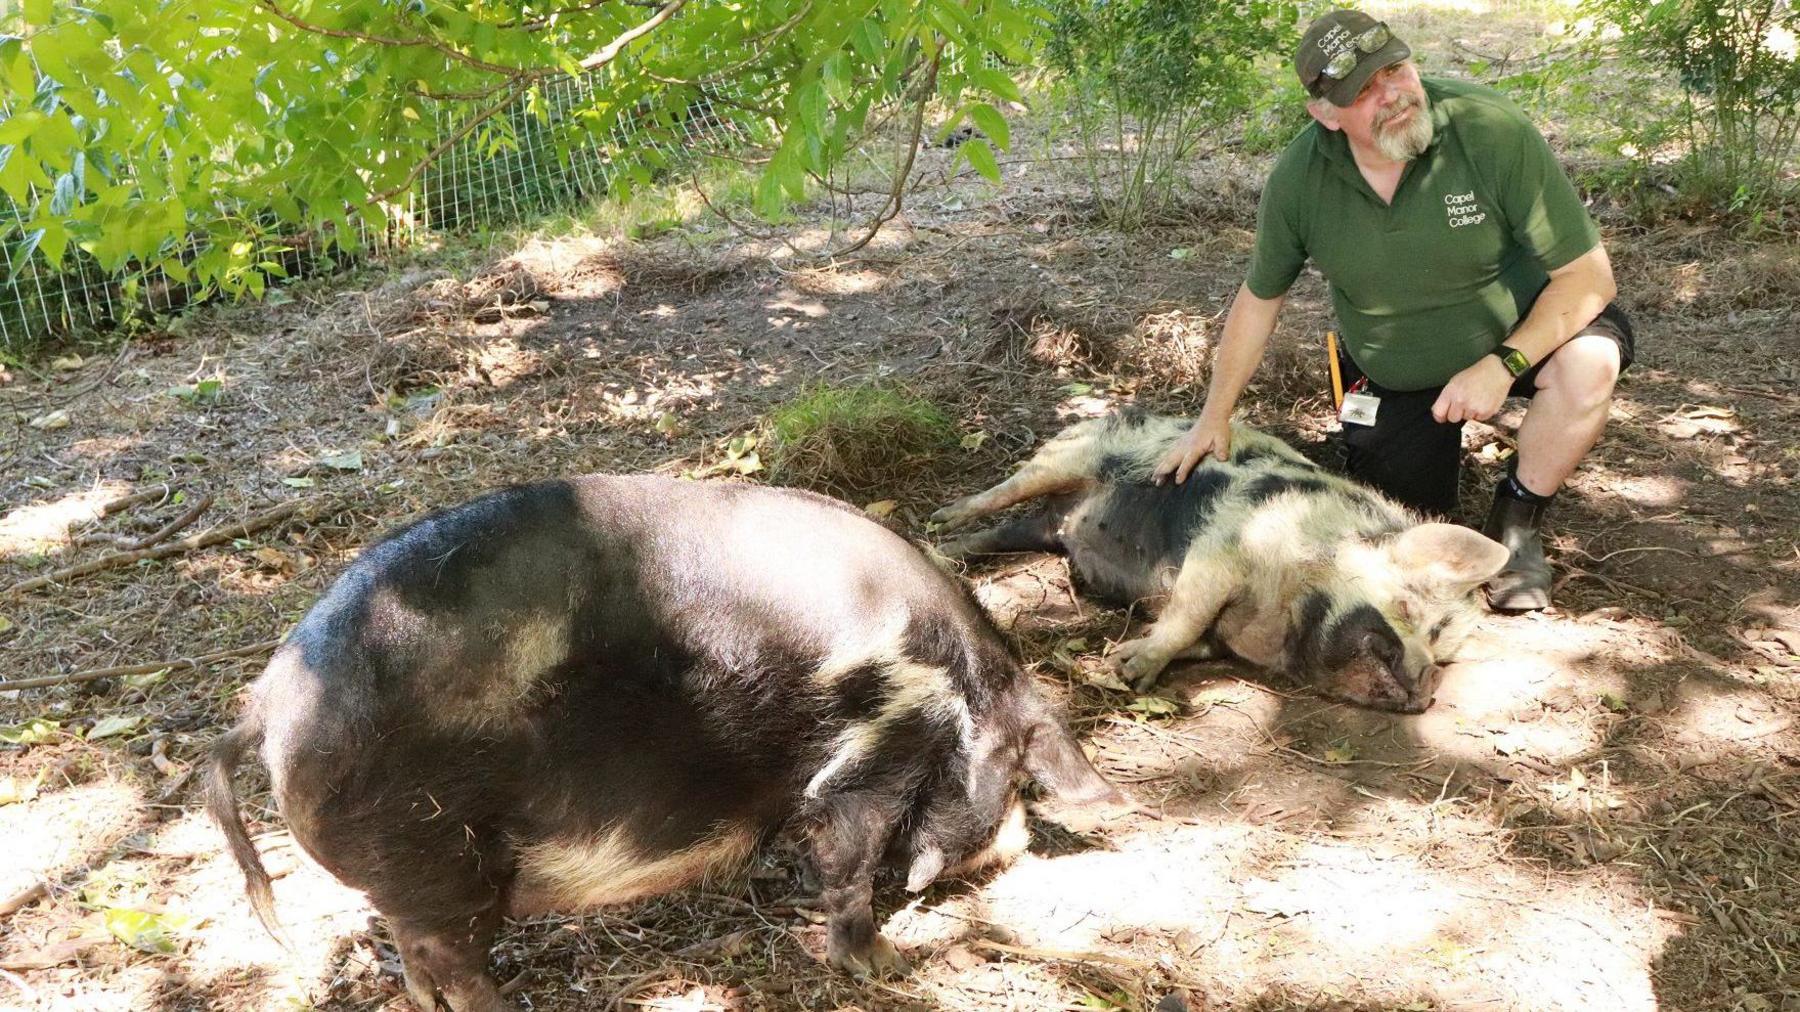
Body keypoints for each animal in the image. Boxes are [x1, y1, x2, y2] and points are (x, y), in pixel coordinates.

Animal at [204, 475, 1116, 1008]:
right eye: (1018, 772)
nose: (1015, 845)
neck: (956, 682)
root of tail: (267, 703)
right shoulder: (872, 751)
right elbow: (849, 859)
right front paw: (885, 966)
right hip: (434, 861)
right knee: (452, 964)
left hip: (411, 880)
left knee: (419, 963)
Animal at [928, 410, 1504, 709]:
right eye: (1408, 608)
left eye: (1441, 646)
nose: (1428, 682)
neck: (1281, 614)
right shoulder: (1222, 546)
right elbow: (1187, 612)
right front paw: (1125, 671)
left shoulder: (1223, 635)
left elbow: (1194, 637)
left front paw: (1123, 665)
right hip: (1067, 458)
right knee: (1000, 493)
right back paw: (939, 519)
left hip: (1045, 530)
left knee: (1004, 532)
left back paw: (939, 554)